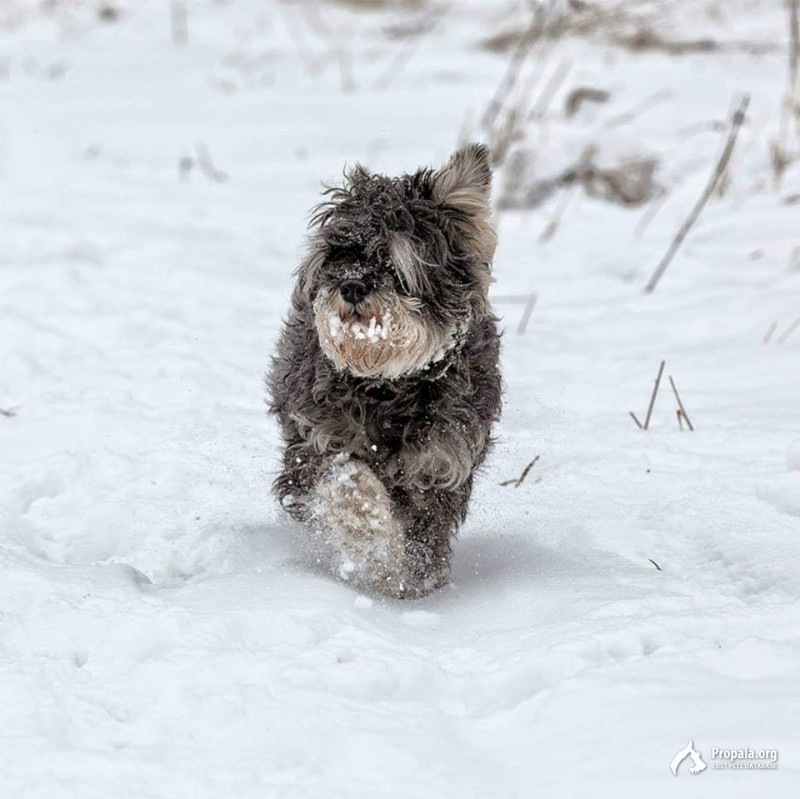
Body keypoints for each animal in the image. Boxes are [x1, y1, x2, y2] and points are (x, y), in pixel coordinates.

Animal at [270, 141, 506, 596]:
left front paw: (411, 581)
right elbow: (348, 485)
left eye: (394, 261)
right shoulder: (316, 444)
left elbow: (424, 539)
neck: (388, 385)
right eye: (339, 253)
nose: (352, 285)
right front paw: (377, 551)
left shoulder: (440, 465)